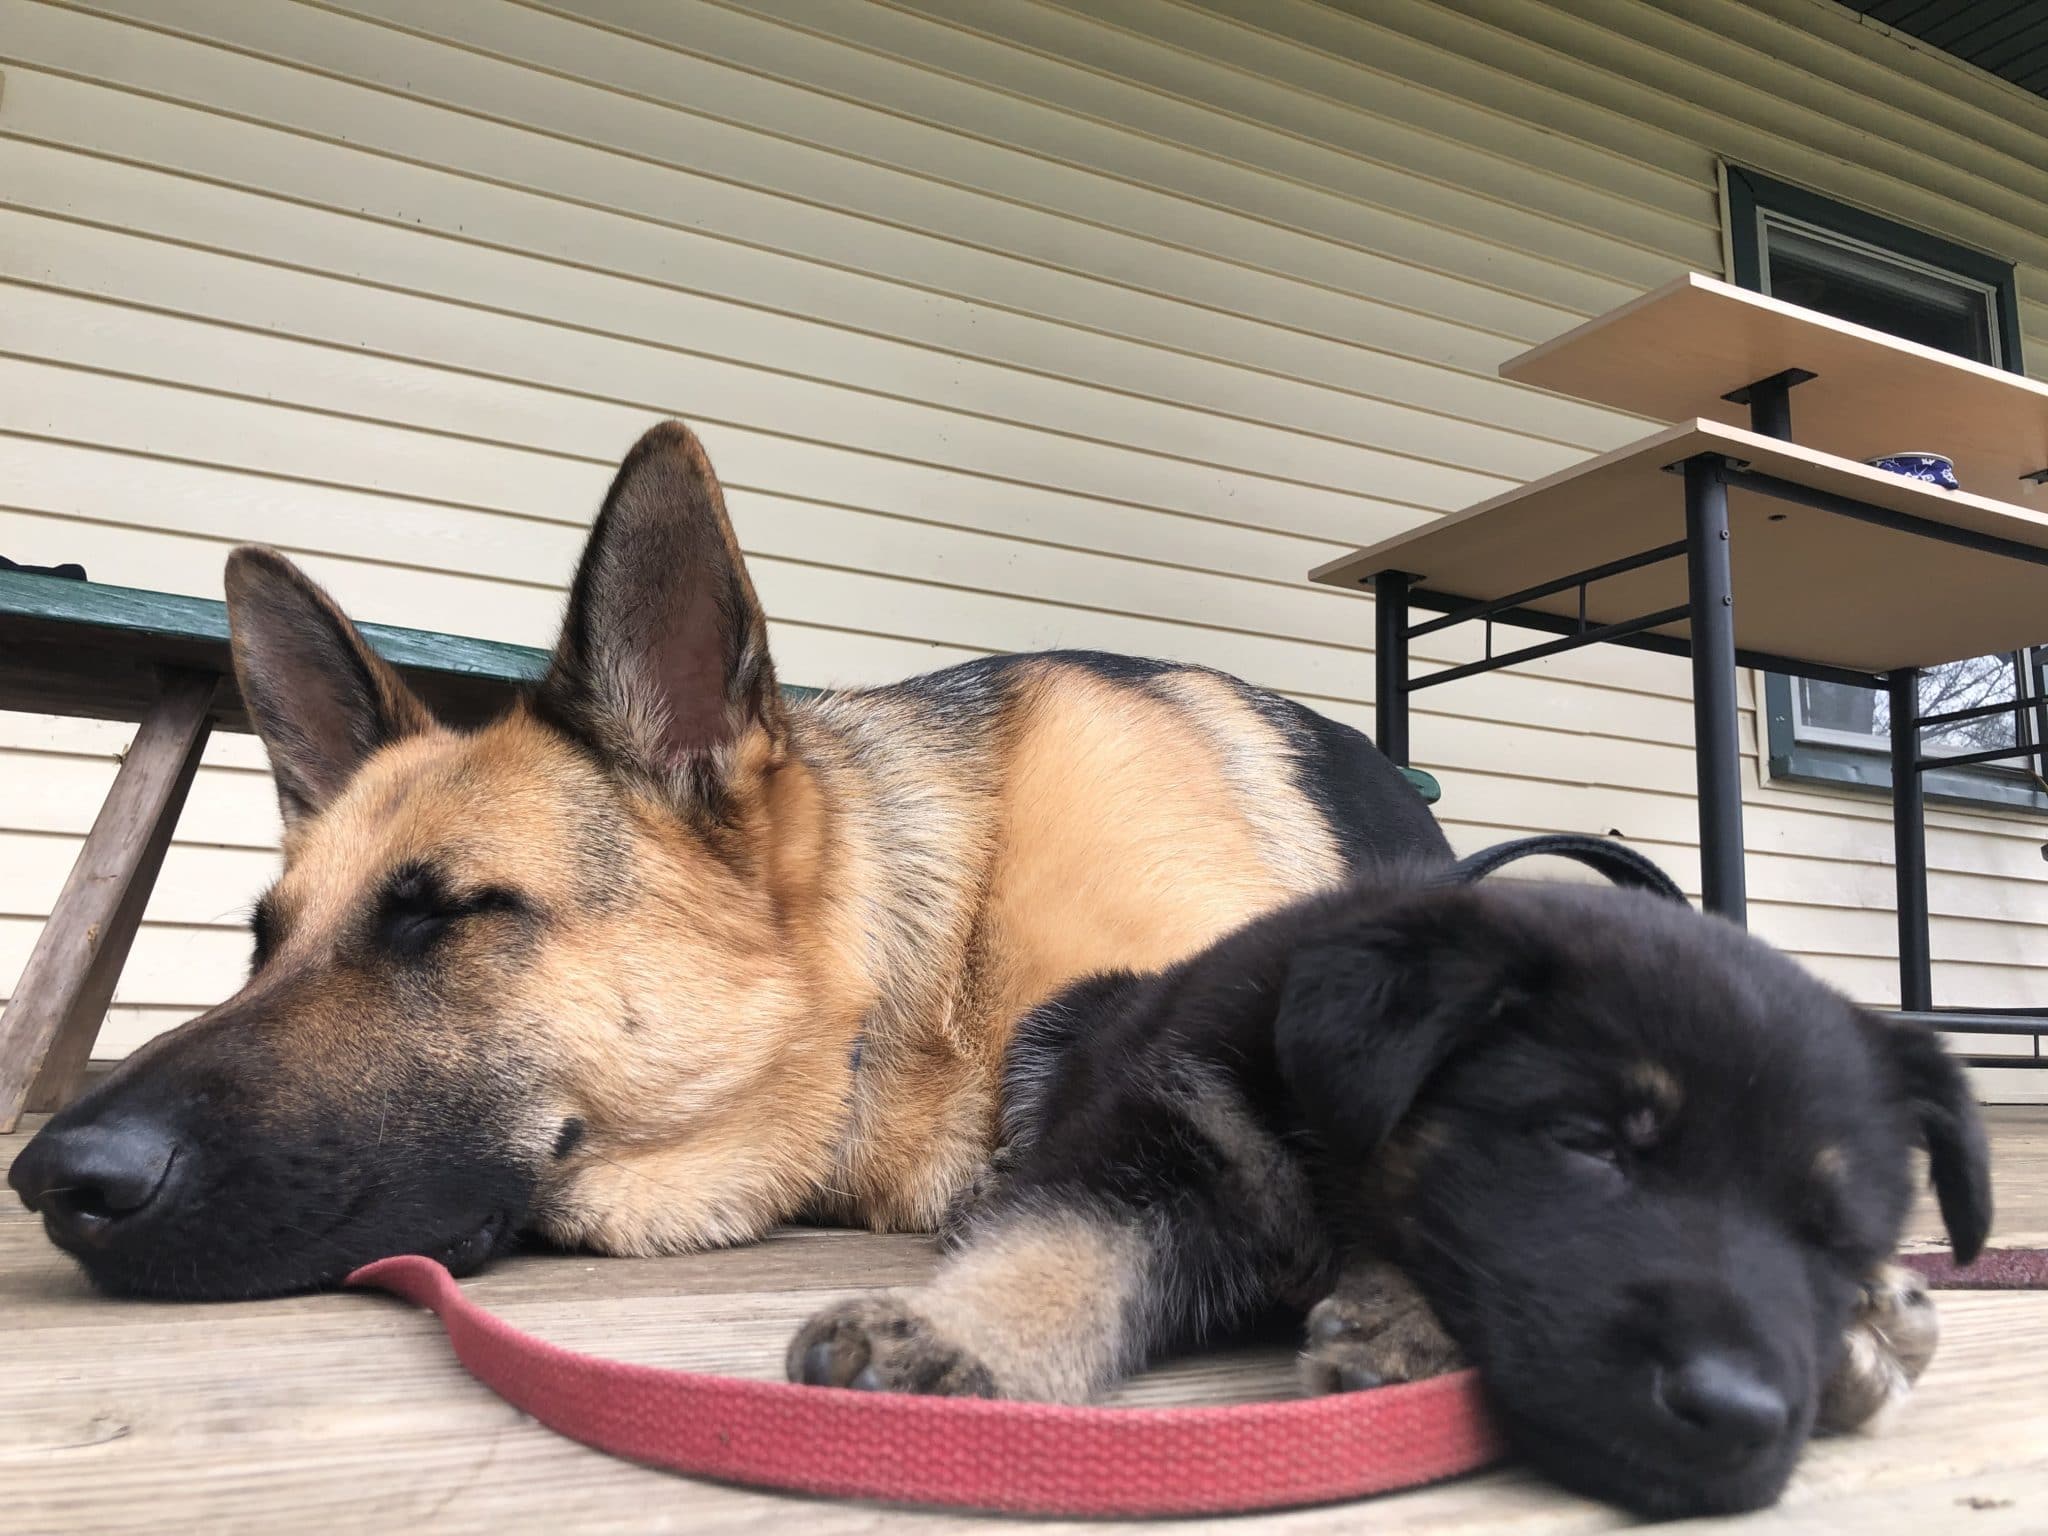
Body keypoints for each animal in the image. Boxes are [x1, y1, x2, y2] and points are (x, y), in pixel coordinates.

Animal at [790, 872, 1990, 1523]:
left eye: (1833, 1233)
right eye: (1590, 1147)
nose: (1738, 1419)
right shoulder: (1155, 1134)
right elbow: (1058, 1244)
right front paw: (947, 1338)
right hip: (1063, 1021)